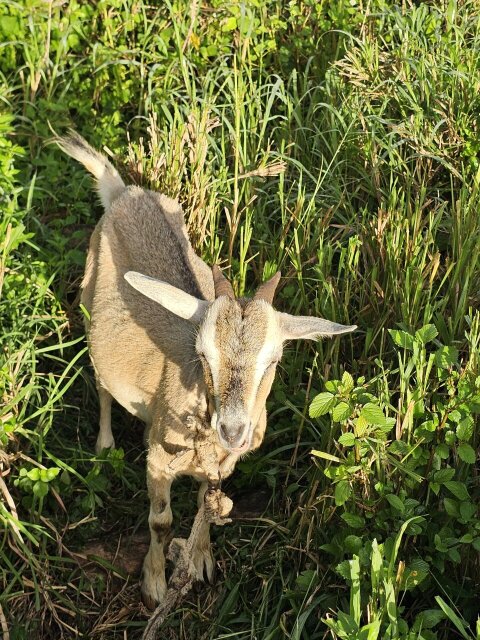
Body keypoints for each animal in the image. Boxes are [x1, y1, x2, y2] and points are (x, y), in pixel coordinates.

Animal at [57, 132, 356, 607]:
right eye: (202, 355)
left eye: (274, 359)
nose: (232, 430)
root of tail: (122, 191)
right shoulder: (159, 465)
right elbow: (160, 521)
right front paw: (156, 586)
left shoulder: (221, 467)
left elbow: (204, 504)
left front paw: (199, 561)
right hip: (89, 309)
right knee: (102, 385)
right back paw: (105, 444)